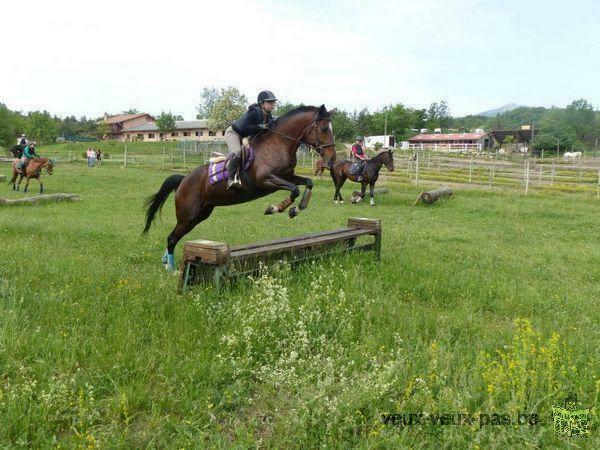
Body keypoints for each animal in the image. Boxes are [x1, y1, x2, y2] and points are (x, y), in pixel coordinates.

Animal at [142, 105, 338, 270]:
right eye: (323, 129)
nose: (332, 159)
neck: (279, 143)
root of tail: (184, 180)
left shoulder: (287, 177)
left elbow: (308, 183)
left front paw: (297, 208)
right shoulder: (266, 180)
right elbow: (294, 190)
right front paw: (276, 208)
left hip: (201, 214)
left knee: (175, 236)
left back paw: (166, 260)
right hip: (188, 215)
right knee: (172, 237)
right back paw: (171, 268)